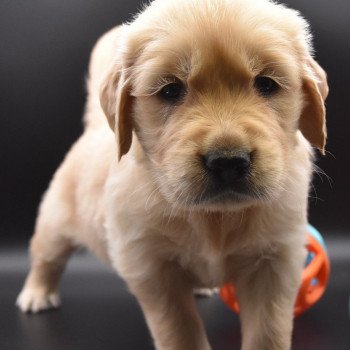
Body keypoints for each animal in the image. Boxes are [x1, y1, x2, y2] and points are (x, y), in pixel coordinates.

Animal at [16, 0, 328, 348]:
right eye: (170, 91)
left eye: (266, 84)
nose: (228, 161)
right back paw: (37, 293)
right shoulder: (151, 268)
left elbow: (268, 331)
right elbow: (179, 328)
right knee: (46, 256)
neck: (214, 218)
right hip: (56, 221)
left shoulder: (275, 260)